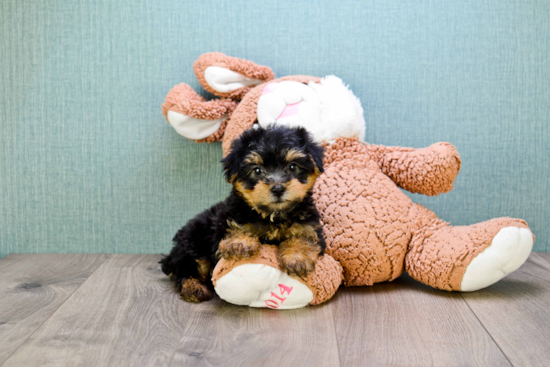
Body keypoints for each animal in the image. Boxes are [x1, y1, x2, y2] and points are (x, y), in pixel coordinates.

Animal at [162, 125, 330, 304]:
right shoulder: (231, 218)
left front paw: (296, 257)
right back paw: (193, 288)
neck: (273, 215)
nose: (278, 188)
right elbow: (237, 228)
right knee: (186, 269)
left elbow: (305, 238)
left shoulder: (309, 225)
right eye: (257, 170)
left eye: (292, 166)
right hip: (193, 243)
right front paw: (239, 243)